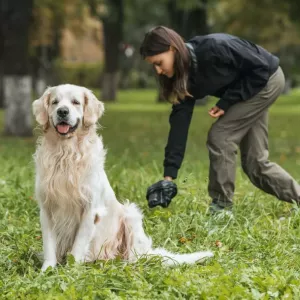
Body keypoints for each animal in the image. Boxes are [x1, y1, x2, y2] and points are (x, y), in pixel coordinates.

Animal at [31, 84, 213, 272]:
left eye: (75, 102)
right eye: (55, 102)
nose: (62, 111)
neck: (66, 153)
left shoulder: (90, 210)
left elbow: (78, 247)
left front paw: (70, 271)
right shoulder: (46, 208)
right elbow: (49, 246)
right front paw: (47, 270)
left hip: (131, 215)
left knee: (134, 257)